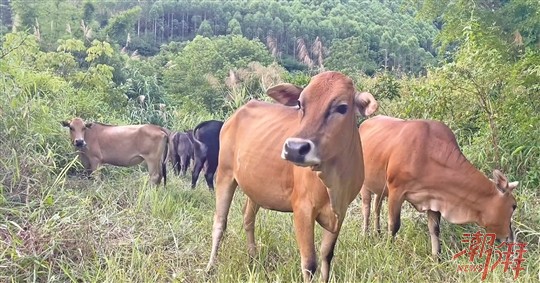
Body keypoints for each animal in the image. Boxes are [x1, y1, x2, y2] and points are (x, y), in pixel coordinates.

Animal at [205, 71, 378, 282]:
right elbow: (309, 263)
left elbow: (326, 255)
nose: (295, 148)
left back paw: (253, 260)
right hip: (225, 174)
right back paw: (210, 267)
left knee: (248, 218)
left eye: (342, 107)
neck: (334, 182)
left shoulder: (341, 211)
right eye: (300, 104)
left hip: (254, 187)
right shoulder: (302, 208)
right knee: (220, 223)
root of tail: (237, 113)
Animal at [358, 116, 520, 258]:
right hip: (365, 185)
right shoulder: (396, 190)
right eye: (514, 206)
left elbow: (434, 229)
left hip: (380, 188)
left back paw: (377, 232)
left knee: (377, 206)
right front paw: (388, 248)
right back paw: (365, 235)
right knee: (366, 208)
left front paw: (437, 256)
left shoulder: (434, 198)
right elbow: (394, 225)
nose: (510, 239)